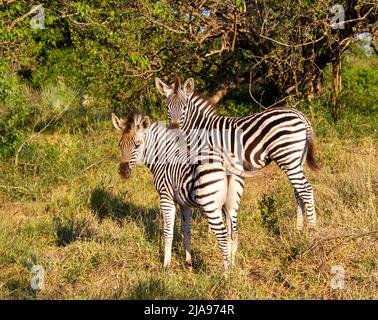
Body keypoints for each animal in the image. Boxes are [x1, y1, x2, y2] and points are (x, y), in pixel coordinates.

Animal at [112, 109, 241, 270]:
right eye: (119, 145)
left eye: (137, 145)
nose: (123, 172)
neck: (163, 159)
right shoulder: (184, 203)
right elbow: (186, 231)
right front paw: (189, 262)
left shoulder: (166, 197)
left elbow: (168, 231)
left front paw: (166, 265)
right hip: (231, 205)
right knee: (233, 234)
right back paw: (233, 267)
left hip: (210, 205)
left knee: (223, 236)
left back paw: (225, 274)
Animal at [154, 76, 318, 231]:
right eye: (167, 107)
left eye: (184, 107)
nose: (174, 128)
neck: (201, 128)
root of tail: (299, 114)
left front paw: (211, 230)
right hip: (297, 159)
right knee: (298, 191)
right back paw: (299, 227)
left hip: (287, 157)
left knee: (306, 190)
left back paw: (311, 229)